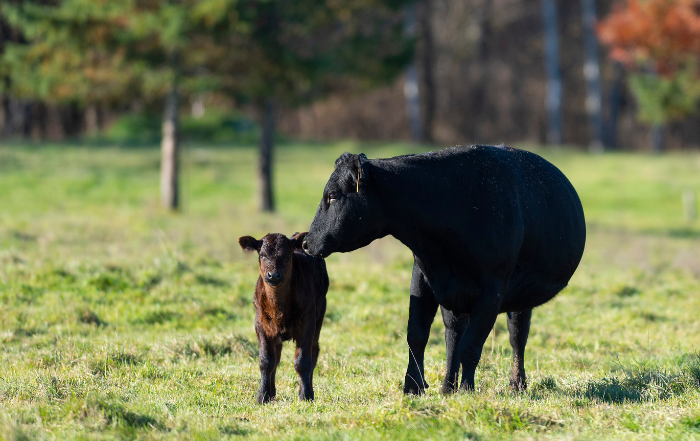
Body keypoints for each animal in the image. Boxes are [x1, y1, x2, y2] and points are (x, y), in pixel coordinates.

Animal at [239, 232, 329, 404]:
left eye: (287, 255)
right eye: (262, 254)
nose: (273, 275)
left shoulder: (308, 323)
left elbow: (302, 361)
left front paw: (305, 395)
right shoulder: (261, 324)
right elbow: (266, 361)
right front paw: (263, 396)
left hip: (319, 318)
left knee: (314, 353)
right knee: (276, 358)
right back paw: (272, 393)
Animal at [302, 145, 586, 394]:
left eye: (333, 195)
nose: (306, 242)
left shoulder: (493, 288)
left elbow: (472, 345)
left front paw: (468, 390)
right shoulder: (423, 274)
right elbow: (418, 335)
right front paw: (413, 387)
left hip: (519, 295)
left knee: (516, 336)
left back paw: (516, 384)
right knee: (453, 337)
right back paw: (447, 387)